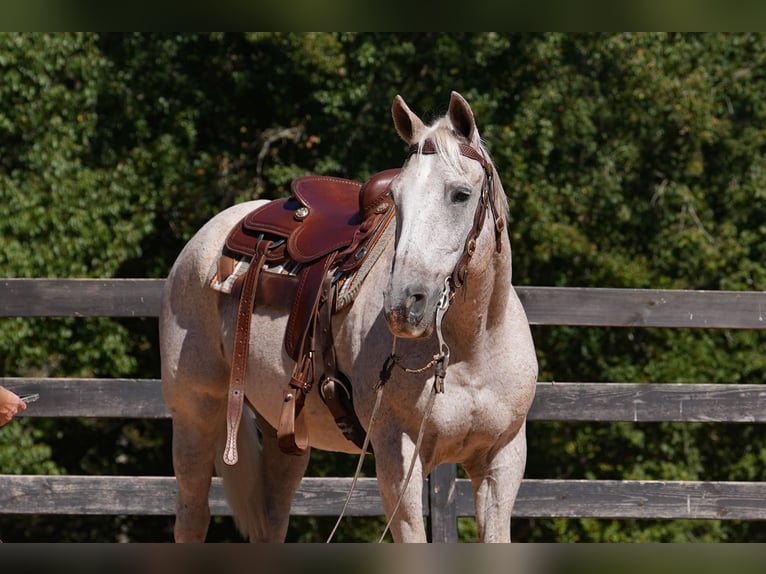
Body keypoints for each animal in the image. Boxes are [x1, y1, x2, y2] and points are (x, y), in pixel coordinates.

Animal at [159, 91, 538, 543]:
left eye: (460, 194)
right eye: (396, 198)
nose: (404, 303)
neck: (473, 348)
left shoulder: (503, 462)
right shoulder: (397, 458)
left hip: (285, 435)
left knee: (272, 517)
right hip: (195, 415)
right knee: (192, 514)